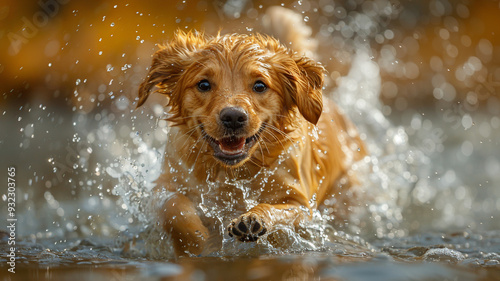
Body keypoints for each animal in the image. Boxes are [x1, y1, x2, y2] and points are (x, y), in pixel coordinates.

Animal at [137, 13, 368, 256]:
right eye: (203, 84)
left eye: (259, 86)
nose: (233, 117)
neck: (231, 173)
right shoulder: (166, 183)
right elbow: (172, 207)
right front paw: (197, 239)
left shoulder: (302, 206)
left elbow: (278, 209)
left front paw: (252, 218)